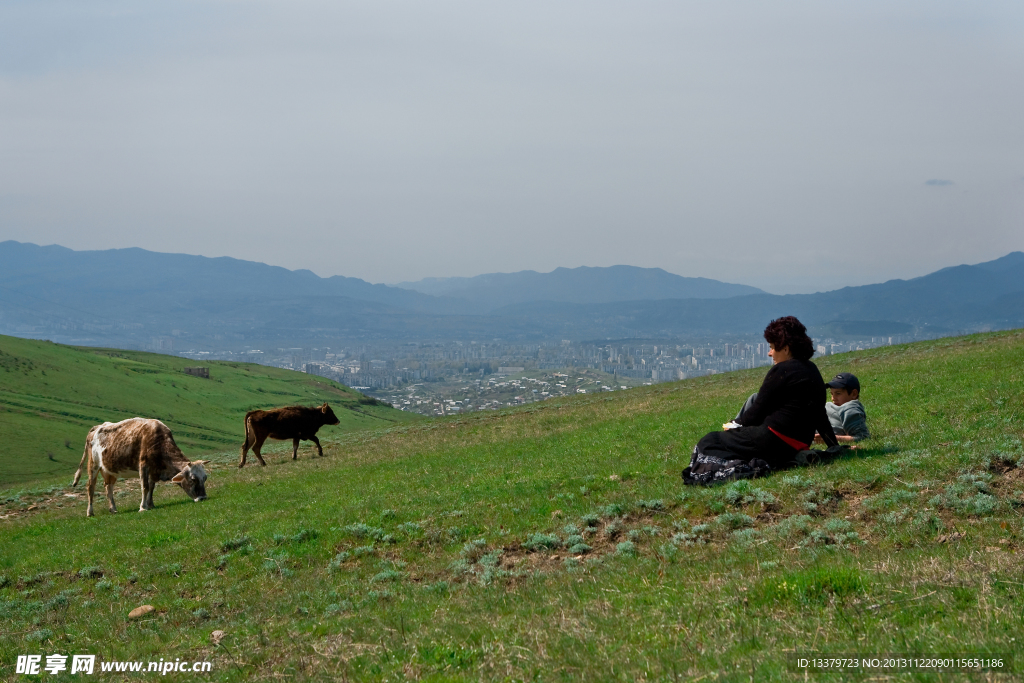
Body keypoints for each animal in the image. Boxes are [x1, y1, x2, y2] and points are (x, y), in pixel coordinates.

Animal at [72, 417, 209, 518]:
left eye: (205, 478)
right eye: (192, 479)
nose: (203, 498)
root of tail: (96, 428)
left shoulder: (153, 470)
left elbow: (152, 487)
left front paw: (151, 504)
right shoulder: (143, 465)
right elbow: (145, 486)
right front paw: (143, 507)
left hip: (109, 470)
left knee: (108, 487)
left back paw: (113, 509)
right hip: (93, 465)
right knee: (90, 487)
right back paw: (90, 512)